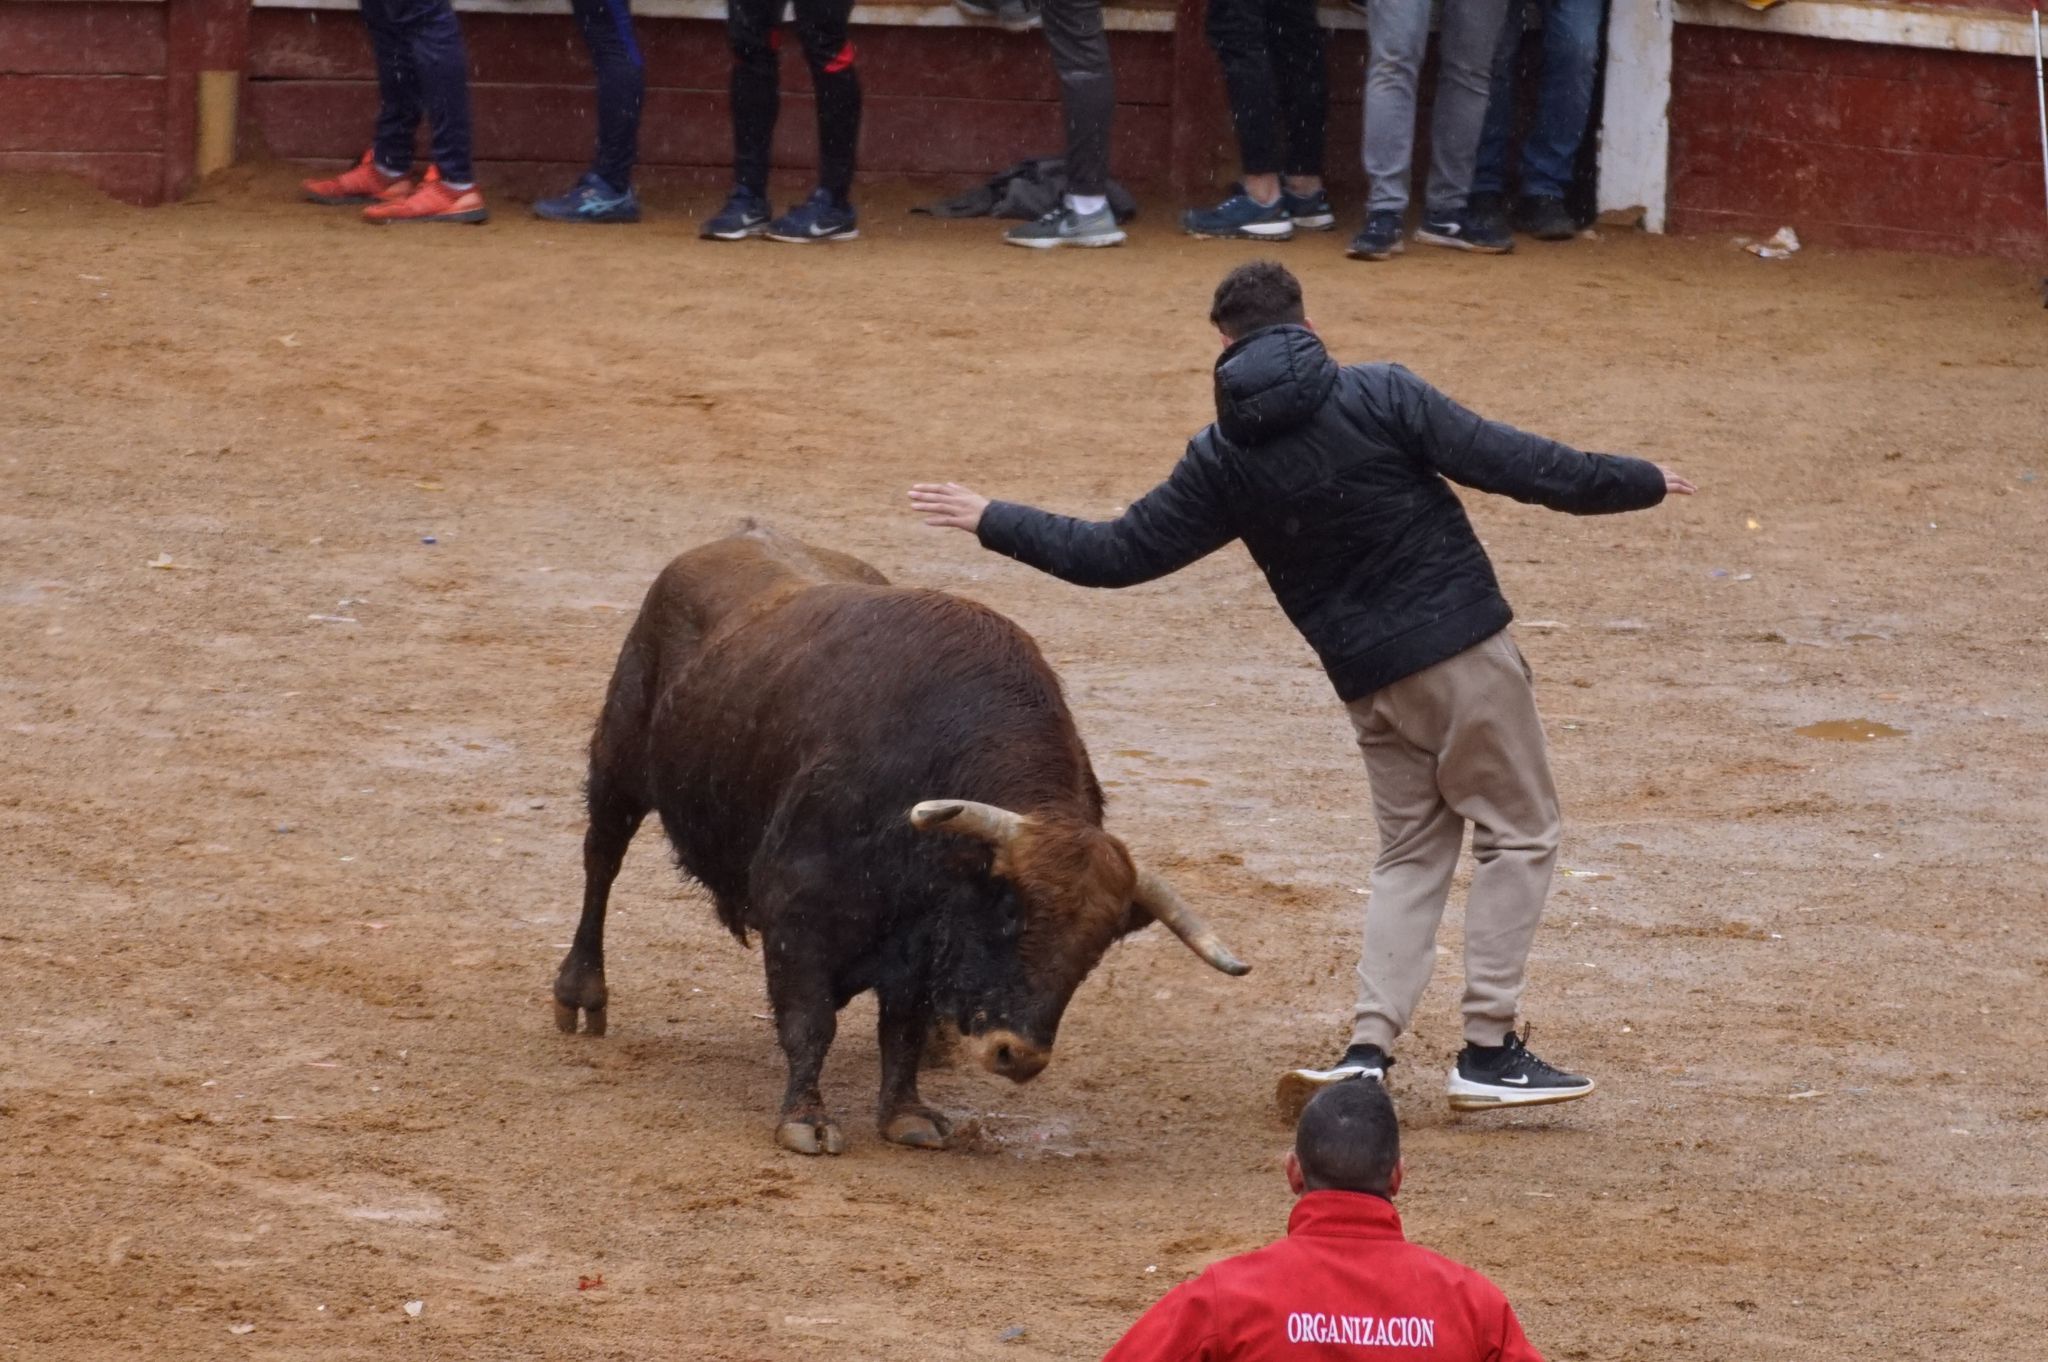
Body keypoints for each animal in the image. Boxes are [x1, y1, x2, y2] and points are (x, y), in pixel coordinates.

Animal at [548, 520, 1245, 1146]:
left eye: (1097, 948)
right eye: (1010, 914)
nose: (1016, 1054)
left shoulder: (916, 941)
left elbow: (901, 1030)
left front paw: (907, 1113)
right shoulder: (795, 913)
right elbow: (810, 1023)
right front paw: (805, 1120)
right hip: (617, 766)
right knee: (600, 862)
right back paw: (581, 994)